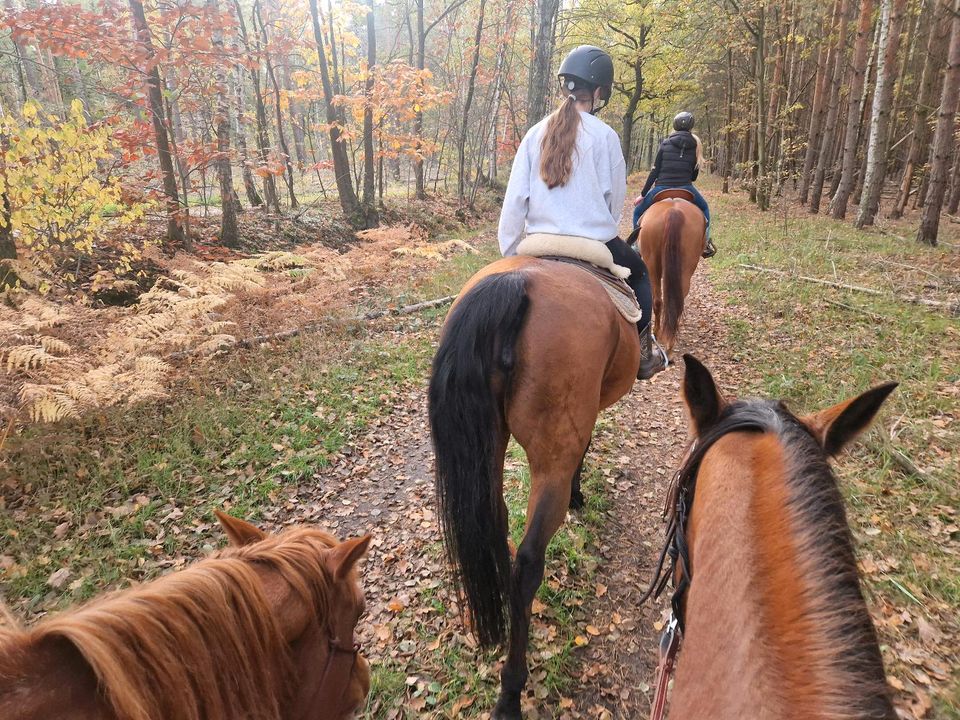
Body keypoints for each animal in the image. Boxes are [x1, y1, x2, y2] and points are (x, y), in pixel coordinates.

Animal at [432, 256, 640, 720]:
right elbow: (586, 447)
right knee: (528, 562)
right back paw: (510, 693)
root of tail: (515, 284)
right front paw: (580, 496)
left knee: (496, 527)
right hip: (549, 457)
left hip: (489, 445)